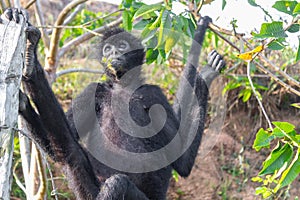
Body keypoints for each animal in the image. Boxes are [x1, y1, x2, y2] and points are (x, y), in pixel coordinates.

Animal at [2, 7, 225, 200]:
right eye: (108, 49)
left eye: (122, 46)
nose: (113, 54)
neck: (124, 88)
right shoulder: (95, 91)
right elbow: (56, 149)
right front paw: (26, 88)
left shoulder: (153, 94)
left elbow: (182, 162)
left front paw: (205, 74)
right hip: (89, 192)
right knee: (69, 151)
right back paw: (31, 63)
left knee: (118, 183)